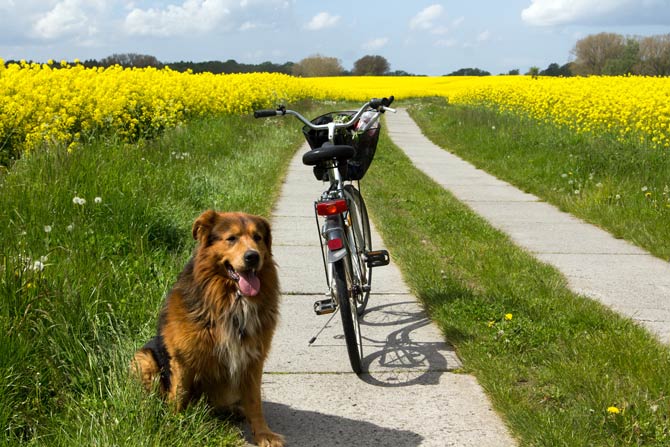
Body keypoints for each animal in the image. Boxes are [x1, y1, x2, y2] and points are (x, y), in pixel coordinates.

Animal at [134, 211, 284, 447]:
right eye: (231, 238)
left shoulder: (253, 360)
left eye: (258, 237)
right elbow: (178, 395)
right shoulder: (182, 359)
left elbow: (255, 402)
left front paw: (263, 434)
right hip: (144, 359)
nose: (253, 257)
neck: (232, 298)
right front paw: (174, 426)